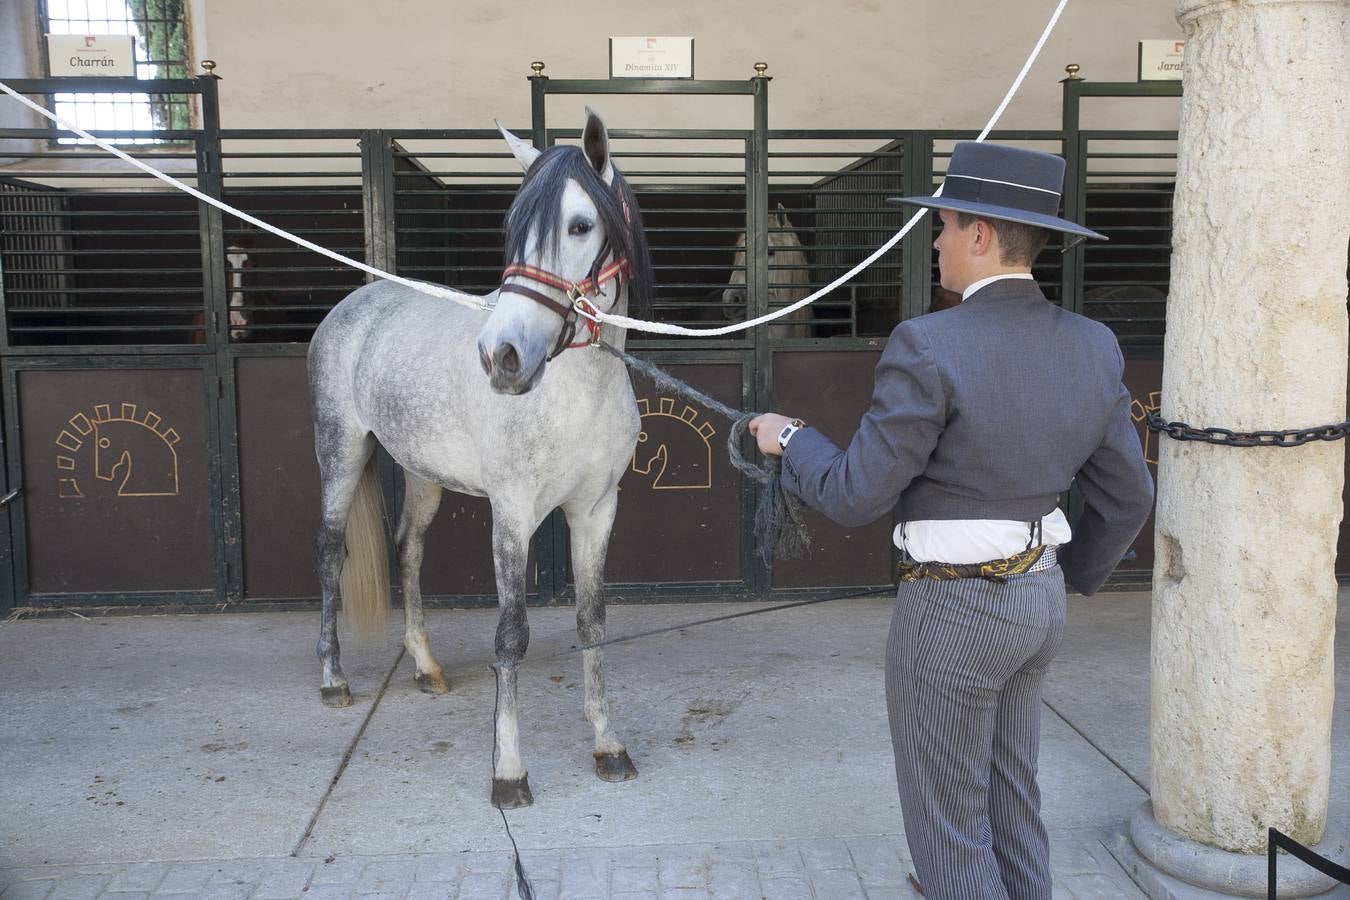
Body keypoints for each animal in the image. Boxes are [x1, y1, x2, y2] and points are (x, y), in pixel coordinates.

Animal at [311, 112, 658, 809]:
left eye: (581, 225)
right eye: (513, 229)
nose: (501, 357)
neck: (575, 394)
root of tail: (352, 308)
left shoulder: (596, 511)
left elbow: (592, 621)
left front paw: (608, 746)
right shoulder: (513, 515)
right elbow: (510, 636)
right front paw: (509, 774)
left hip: (422, 474)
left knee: (408, 549)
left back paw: (425, 668)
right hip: (340, 450)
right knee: (332, 552)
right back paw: (334, 680)